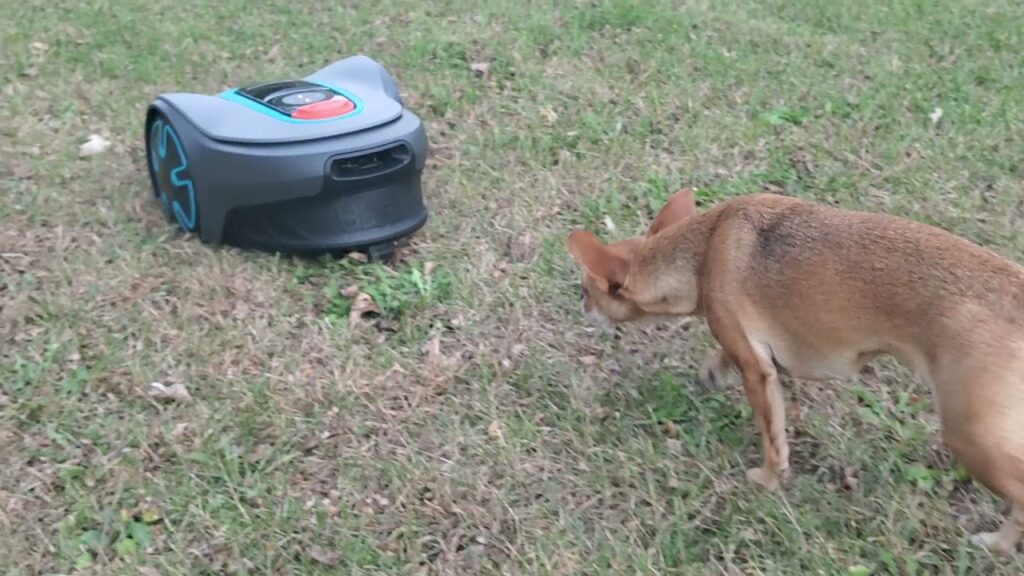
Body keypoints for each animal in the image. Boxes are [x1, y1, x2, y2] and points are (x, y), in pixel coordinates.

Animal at [569, 188, 1024, 553]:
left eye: (586, 290)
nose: (582, 304)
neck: (700, 251)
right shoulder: (752, 352)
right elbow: (727, 358)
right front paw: (713, 370)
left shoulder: (757, 373)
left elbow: (773, 437)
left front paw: (768, 479)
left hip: (970, 437)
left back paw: (997, 546)